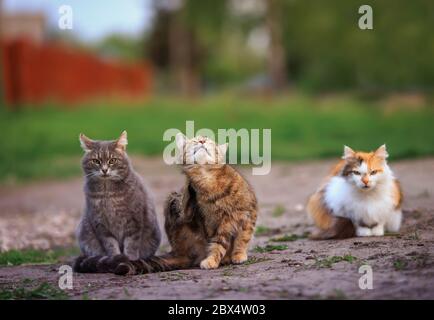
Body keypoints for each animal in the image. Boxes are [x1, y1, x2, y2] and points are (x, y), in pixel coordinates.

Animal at [73, 130, 161, 272]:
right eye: (96, 161)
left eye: (112, 160)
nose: (104, 170)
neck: (108, 193)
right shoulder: (101, 225)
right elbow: (111, 245)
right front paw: (115, 259)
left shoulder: (134, 222)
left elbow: (131, 245)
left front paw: (131, 260)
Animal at [91, 132, 258, 276]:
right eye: (195, 140)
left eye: (209, 141)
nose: (202, 141)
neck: (208, 178)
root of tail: (179, 252)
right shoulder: (213, 224)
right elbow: (218, 244)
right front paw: (212, 260)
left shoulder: (249, 213)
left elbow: (243, 238)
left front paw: (238, 255)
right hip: (173, 200)